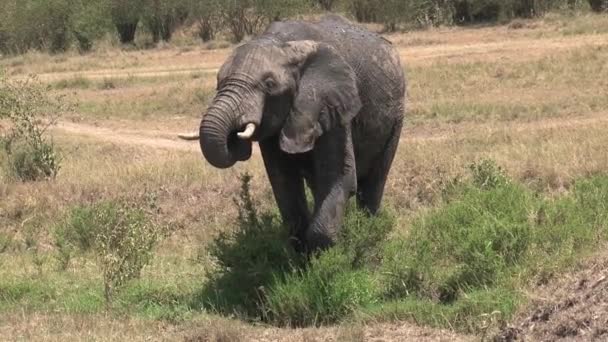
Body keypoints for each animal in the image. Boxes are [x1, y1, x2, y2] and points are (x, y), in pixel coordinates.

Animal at [180, 14, 408, 252]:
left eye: (269, 84)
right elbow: (284, 184)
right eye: (218, 81)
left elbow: (339, 177)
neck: (286, 45)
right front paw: (302, 256)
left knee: (374, 181)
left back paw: (368, 230)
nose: (234, 136)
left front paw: (325, 256)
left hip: (396, 115)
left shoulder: (334, 104)